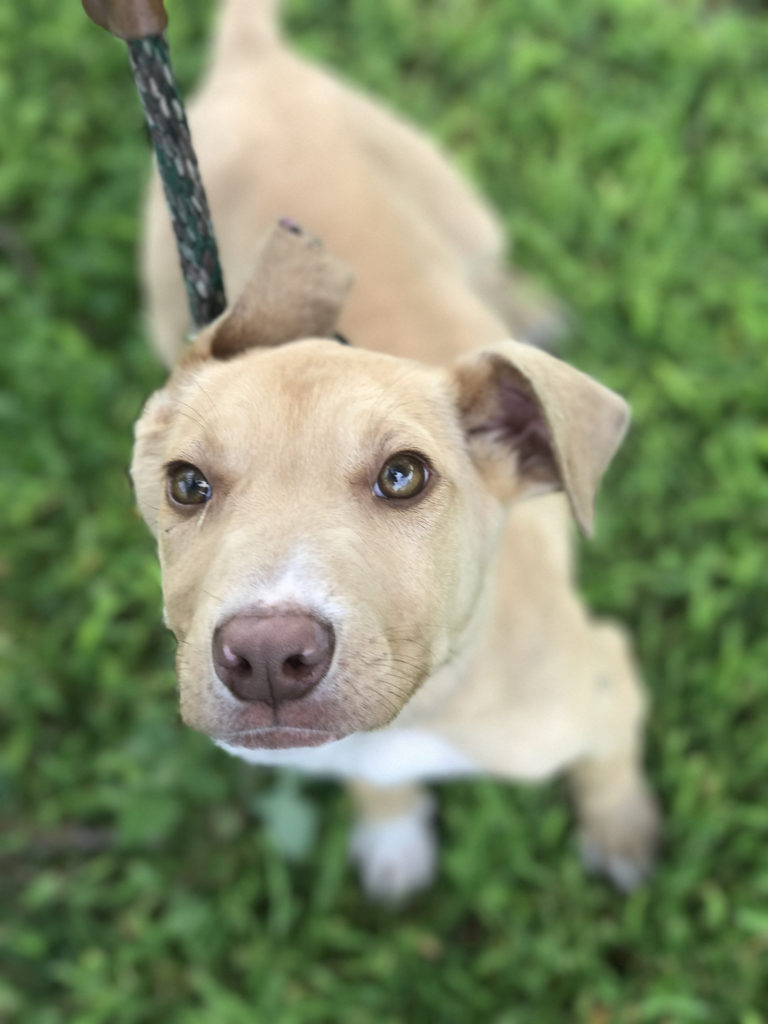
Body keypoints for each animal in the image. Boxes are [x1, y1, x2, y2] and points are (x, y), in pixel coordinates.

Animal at [132, 0, 663, 897]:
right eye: (187, 485)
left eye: (405, 475)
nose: (266, 656)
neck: (422, 707)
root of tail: (256, 57)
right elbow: (370, 782)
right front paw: (391, 833)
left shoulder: (606, 680)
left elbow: (607, 766)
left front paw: (622, 832)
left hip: (455, 198)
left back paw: (528, 305)